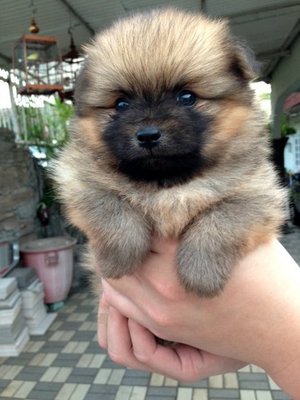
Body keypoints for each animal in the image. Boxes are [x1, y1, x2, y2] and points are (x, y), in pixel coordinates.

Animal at [52, 7, 286, 296]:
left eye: (186, 97)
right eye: (121, 104)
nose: (148, 135)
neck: (166, 184)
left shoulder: (258, 191)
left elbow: (224, 218)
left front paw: (201, 272)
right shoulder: (79, 180)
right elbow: (111, 207)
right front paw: (117, 260)